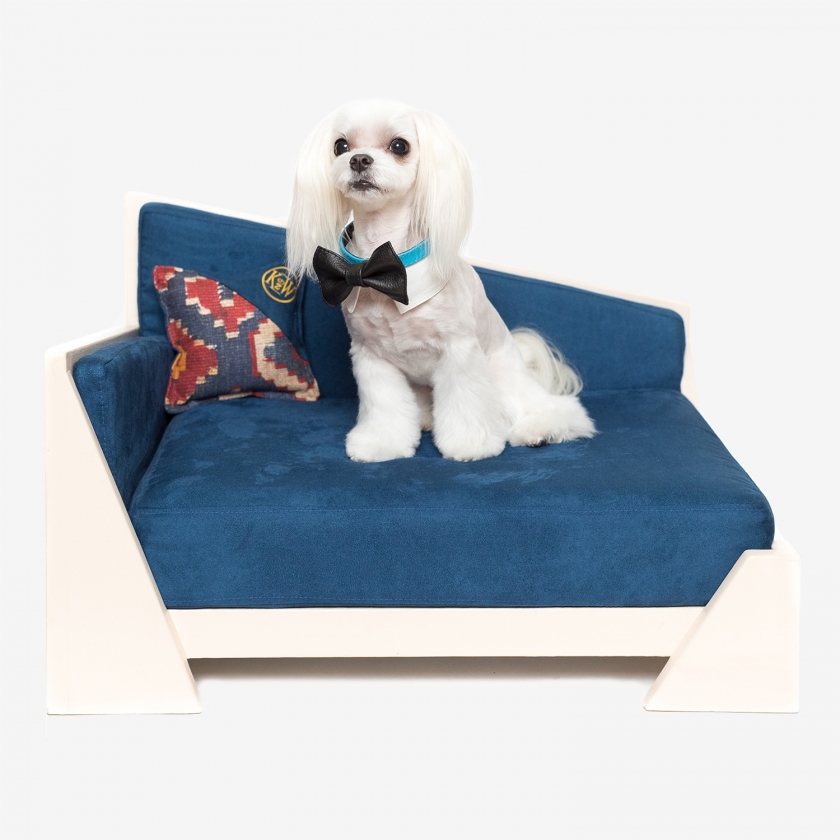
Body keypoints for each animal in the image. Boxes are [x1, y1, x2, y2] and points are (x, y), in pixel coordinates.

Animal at [286, 100, 595, 462]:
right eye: (340, 146)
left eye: (399, 146)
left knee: (545, 408)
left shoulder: (459, 352)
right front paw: (381, 444)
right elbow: (384, 407)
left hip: (503, 379)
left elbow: (466, 403)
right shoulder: (372, 358)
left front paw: (470, 444)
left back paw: (539, 430)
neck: (386, 265)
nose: (359, 159)